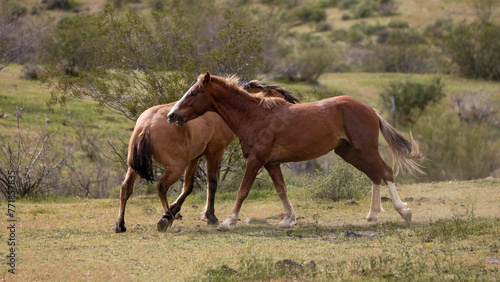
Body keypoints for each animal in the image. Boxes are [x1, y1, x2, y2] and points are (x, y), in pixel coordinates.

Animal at [115, 78, 298, 232]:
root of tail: (147, 125)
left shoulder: (194, 158)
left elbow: (188, 187)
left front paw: (176, 209)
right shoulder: (214, 151)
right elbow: (212, 183)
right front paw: (209, 216)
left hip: (134, 167)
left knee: (125, 188)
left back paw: (121, 224)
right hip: (176, 167)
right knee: (161, 186)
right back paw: (165, 217)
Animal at [167, 72, 422, 231]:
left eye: (193, 93)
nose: (172, 115)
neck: (254, 116)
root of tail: (370, 109)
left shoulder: (256, 160)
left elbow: (242, 191)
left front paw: (228, 222)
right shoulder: (271, 163)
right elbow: (282, 190)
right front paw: (288, 220)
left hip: (364, 149)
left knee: (386, 172)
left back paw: (404, 212)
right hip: (349, 153)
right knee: (375, 176)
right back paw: (372, 215)